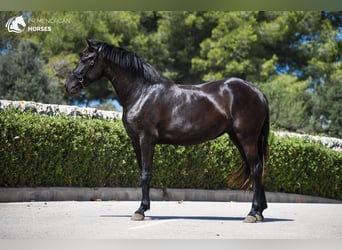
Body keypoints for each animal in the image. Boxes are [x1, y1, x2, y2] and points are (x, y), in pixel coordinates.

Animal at [65, 39, 270, 223]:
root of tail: (258, 92)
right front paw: (143, 208)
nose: (69, 85)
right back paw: (259, 212)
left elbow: (146, 174)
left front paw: (140, 211)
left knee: (256, 169)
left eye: (86, 59)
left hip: (247, 138)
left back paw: (252, 213)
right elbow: (141, 172)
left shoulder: (146, 139)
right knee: (257, 168)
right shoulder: (135, 141)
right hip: (238, 138)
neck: (141, 92)